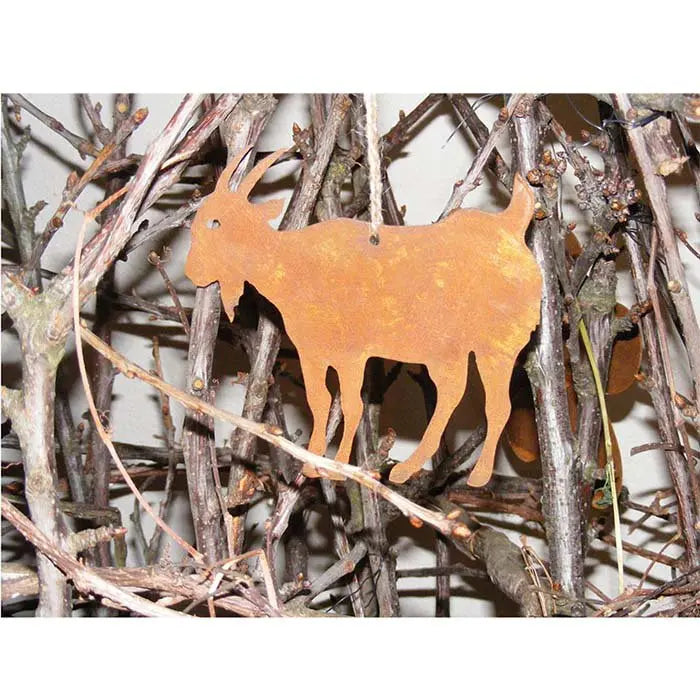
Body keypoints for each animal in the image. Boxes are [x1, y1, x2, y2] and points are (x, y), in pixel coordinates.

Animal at [185, 148, 541, 487]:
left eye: (216, 222)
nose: (192, 272)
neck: (292, 264)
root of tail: (513, 227)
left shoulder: (351, 354)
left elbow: (352, 405)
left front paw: (338, 468)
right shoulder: (312, 353)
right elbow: (319, 401)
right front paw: (313, 465)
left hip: (497, 345)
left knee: (496, 404)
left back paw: (471, 475)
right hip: (448, 353)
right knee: (456, 396)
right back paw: (410, 470)